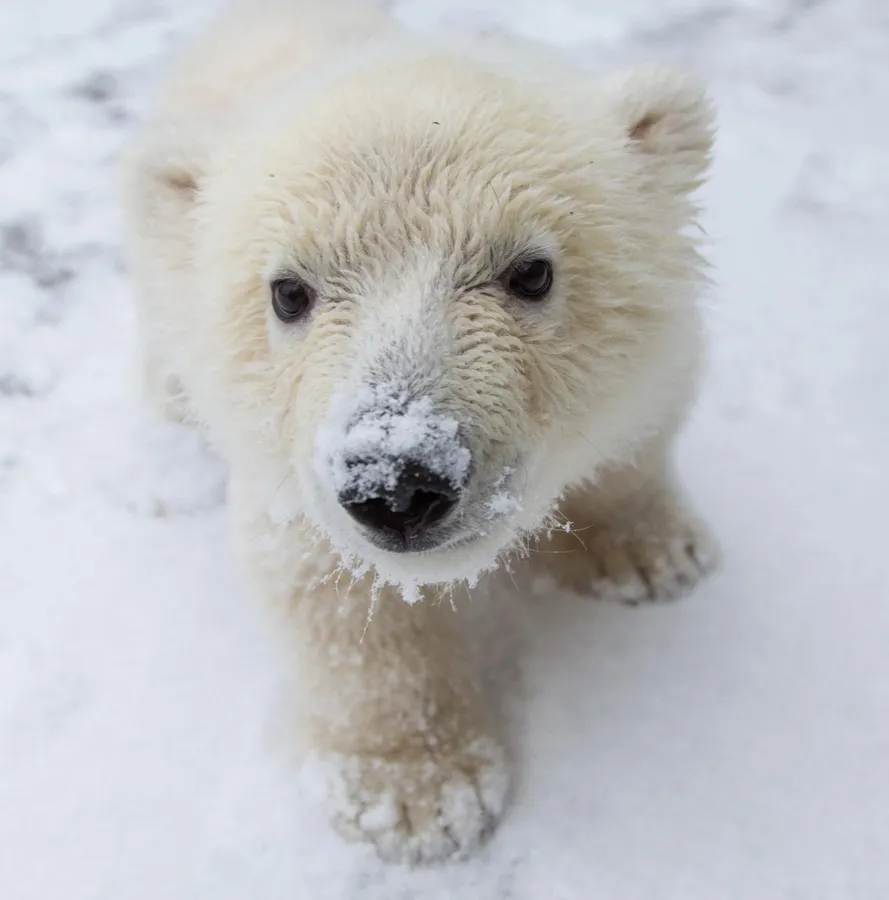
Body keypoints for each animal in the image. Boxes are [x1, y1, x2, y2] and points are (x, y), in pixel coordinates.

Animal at [120, 0, 718, 865]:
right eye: (287, 291)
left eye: (530, 271)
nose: (396, 484)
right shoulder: (294, 476)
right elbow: (338, 595)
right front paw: (415, 799)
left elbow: (638, 427)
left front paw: (652, 557)